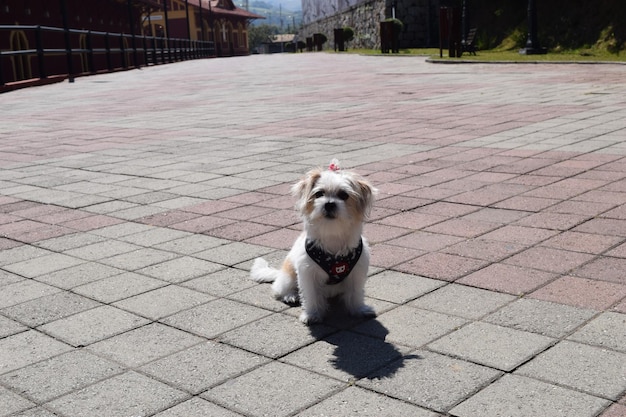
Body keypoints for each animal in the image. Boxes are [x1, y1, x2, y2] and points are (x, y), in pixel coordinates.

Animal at [249, 160, 376, 324]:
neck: (332, 233)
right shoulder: (308, 273)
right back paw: (290, 295)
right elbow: (311, 295)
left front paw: (359, 310)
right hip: (288, 276)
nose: (329, 204)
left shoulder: (357, 272)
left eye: (343, 195)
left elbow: (356, 294)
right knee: (279, 289)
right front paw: (312, 314)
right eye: (319, 194)